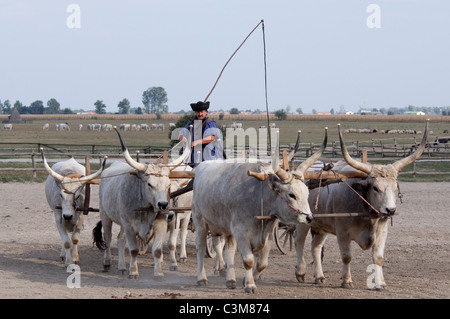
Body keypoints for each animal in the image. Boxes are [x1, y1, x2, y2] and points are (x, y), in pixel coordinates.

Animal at [98, 129, 190, 278]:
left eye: (168, 185)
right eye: (150, 184)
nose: (163, 205)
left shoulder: (161, 224)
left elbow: (158, 250)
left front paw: (158, 273)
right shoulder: (129, 226)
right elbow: (134, 250)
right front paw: (134, 272)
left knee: (120, 239)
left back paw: (122, 267)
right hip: (105, 215)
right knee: (108, 237)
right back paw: (107, 263)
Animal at [191, 129, 326, 292]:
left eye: (307, 192)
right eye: (291, 194)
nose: (309, 218)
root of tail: (201, 167)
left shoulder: (267, 235)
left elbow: (262, 263)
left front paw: (247, 279)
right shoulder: (241, 232)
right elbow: (248, 260)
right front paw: (250, 284)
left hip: (226, 228)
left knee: (228, 250)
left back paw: (230, 280)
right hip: (200, 221)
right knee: (200, 247)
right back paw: (201, 278)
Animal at [296, 122, 428, 290]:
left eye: (394, 187)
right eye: (375, 188)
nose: (390, 210)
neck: (366, 213)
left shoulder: (382, 232)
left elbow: (378, 258)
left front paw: (380, 283)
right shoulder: (343, 233)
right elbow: (346, 257)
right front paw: (347, 280)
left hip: (321, 225)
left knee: (316, 247)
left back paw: (319, 276)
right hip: (303, 221)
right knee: (299, 242)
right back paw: (300, 272)